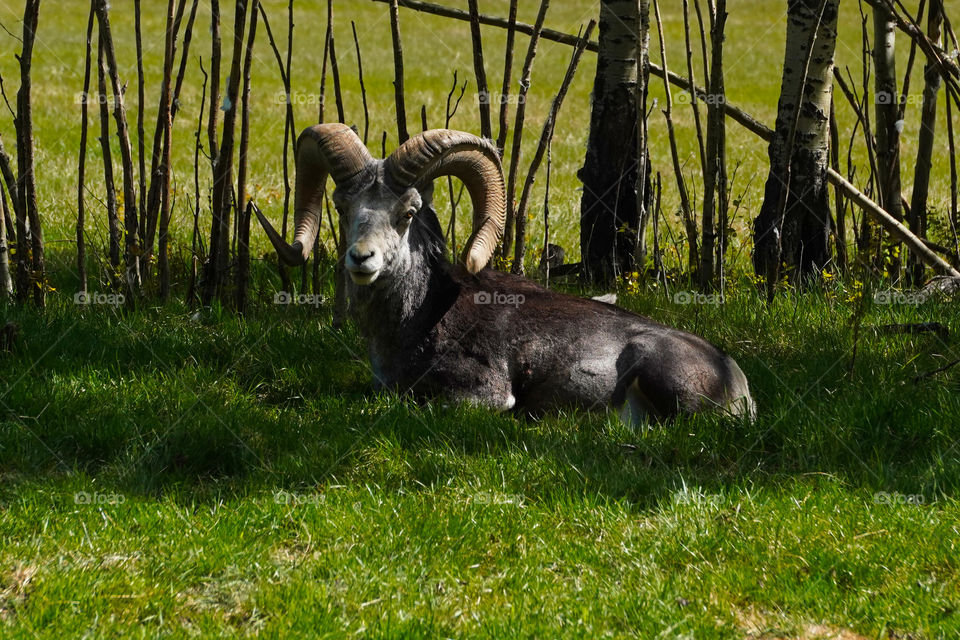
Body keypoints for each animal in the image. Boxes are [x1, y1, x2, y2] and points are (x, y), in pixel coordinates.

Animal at [256, 124, 755, 423]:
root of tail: (735, 382)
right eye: (343, 208)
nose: (361, 259)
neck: (418, 319)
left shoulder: (481, 396)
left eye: (408, 212)